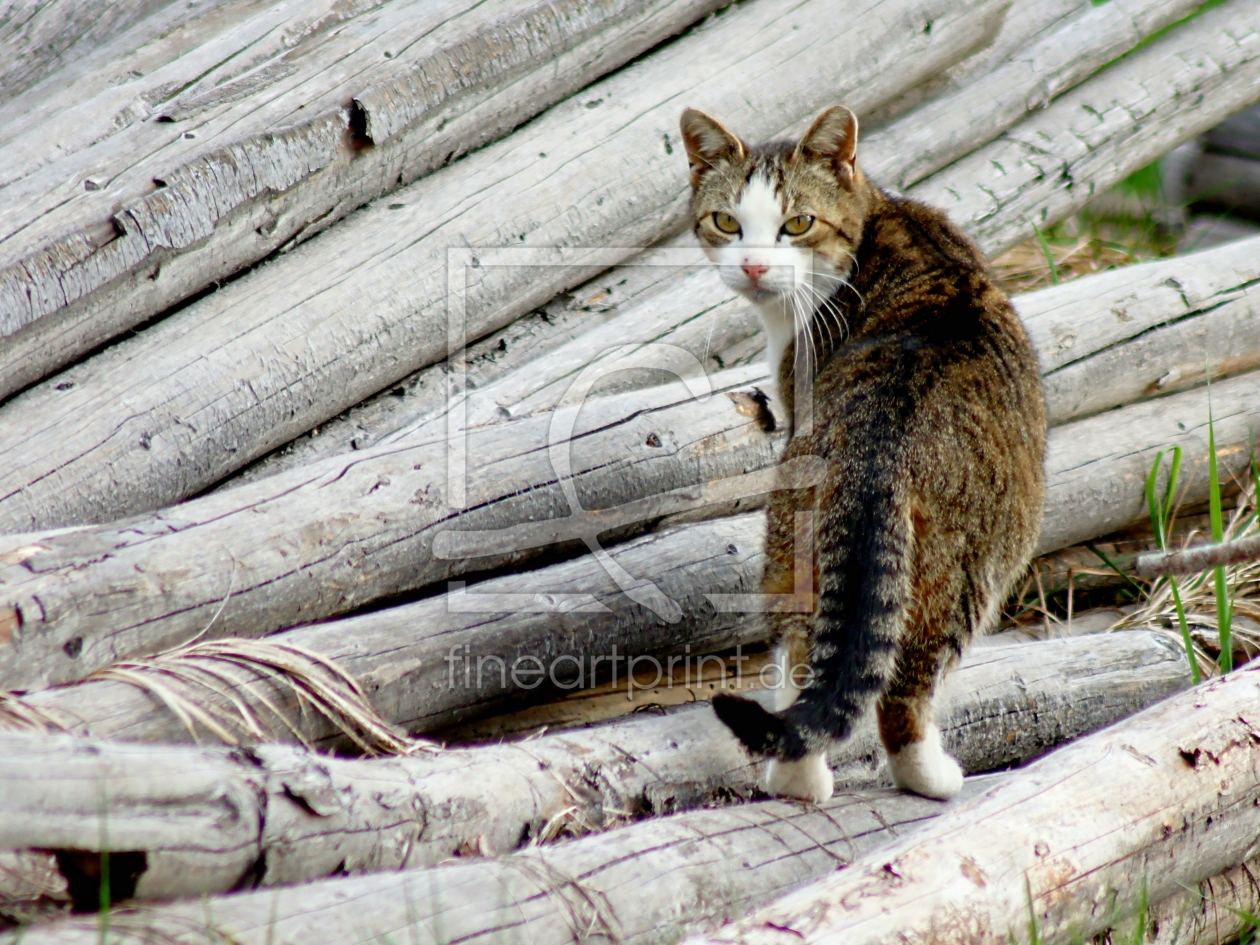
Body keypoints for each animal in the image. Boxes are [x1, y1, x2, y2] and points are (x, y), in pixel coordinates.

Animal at [685, 105, 1048, 801]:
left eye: (797, 224)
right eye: (727, 222)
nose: (754, 267)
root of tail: (877, 451)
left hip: (798, 548)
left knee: (808, 656)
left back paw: (799, 781)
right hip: (968, 570)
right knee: (901, 688)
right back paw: (921, 777)